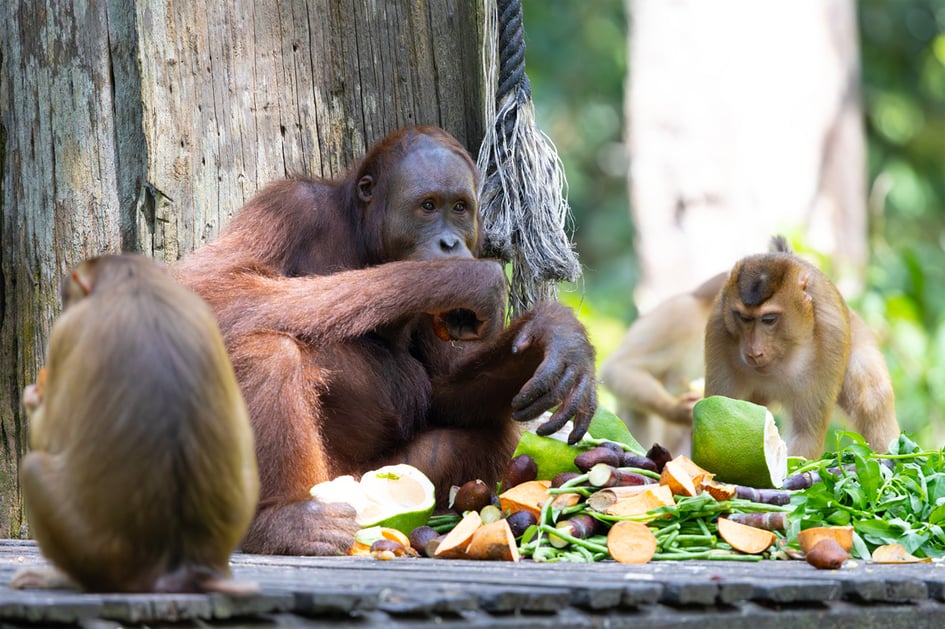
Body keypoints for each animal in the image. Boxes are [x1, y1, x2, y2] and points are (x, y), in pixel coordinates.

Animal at [11, 254, 260, 593]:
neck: (133, 281)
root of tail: (185, 565)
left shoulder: (66, 331)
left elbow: (51, 435)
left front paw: (35, 396)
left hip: (102, 555)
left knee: (34, 467)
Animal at [704, 237, 900, 459]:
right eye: (743, 318)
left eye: (769, 319)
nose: (754, 352)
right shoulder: (718, 328)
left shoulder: (831, 334)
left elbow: (806, 435)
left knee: (871, 397)